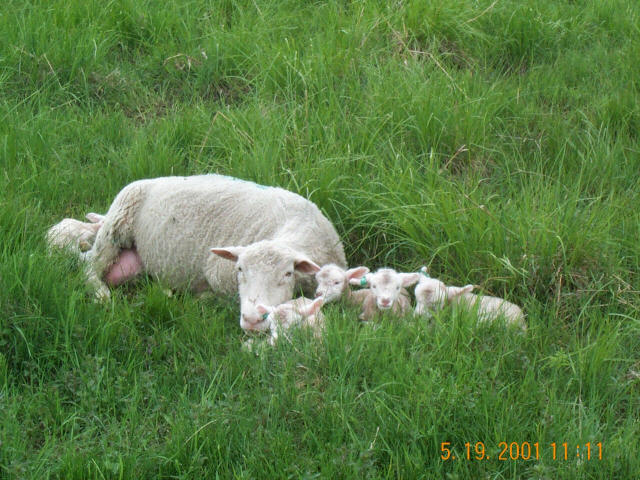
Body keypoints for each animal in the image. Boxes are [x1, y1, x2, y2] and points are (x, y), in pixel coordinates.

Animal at [84, 175, 350, 330]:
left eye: (287, 274)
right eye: (239, 269)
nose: (252, 320)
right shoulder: (217, 273)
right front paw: (200, 297)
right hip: (116, 226)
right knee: (88, 267)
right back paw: (101, 295)